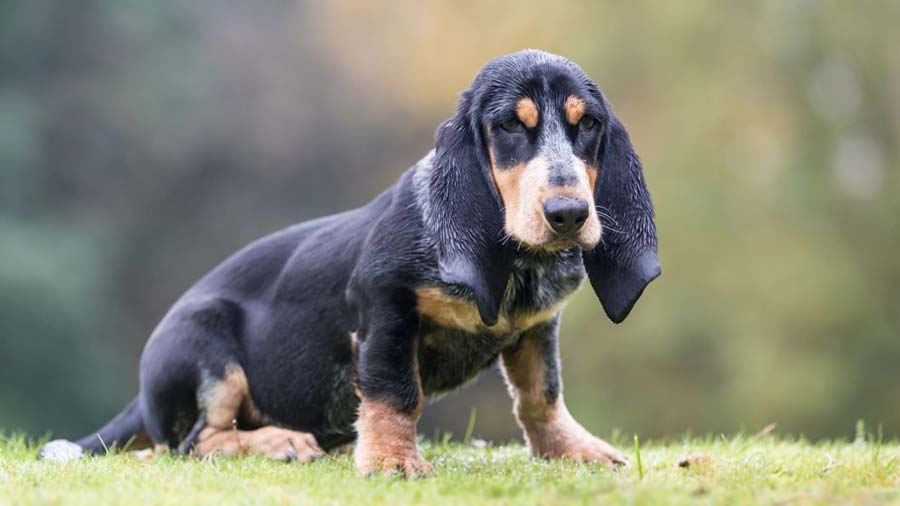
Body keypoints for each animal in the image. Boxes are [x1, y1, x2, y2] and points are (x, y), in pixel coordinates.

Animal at [40, 49, 660, 476]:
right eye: (510, 126)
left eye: (587, 125)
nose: (568, 214)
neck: (514, 262)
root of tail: (141, 398)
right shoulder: (386, 306)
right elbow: (395, 391)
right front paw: (392, 461)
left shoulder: (537, 327)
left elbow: (541, 396)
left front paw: (573, 450)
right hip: (207, 346)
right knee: (195, 443)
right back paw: (282, 442)